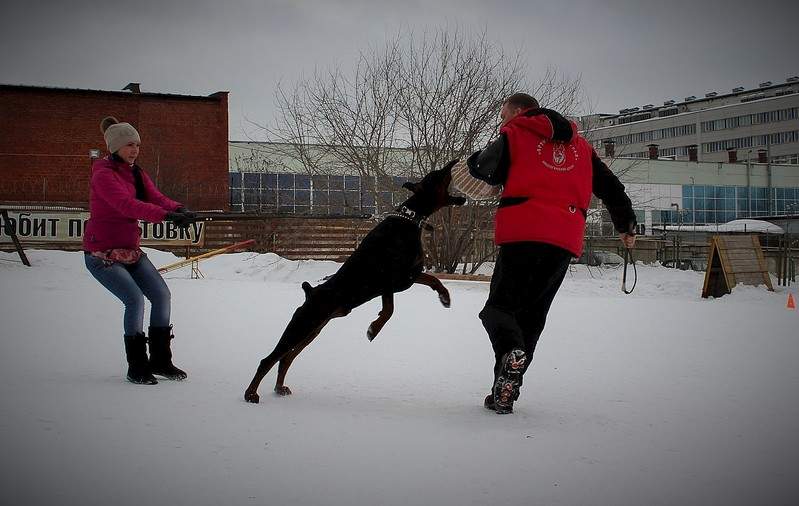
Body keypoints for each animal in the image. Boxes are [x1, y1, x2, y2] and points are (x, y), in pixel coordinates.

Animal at [245, 159, 468, 404]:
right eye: (437, 175)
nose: (454, 162)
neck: (410, 219)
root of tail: (310, 293)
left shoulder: (409, 274)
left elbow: (434, 280)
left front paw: (444, 297)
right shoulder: (390, 279)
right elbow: (389, 310)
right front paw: (373, 329)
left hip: (313, 329)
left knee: (286, 358)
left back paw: (279, 388)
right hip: (302, 324)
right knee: (268, 359)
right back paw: (251, 394)